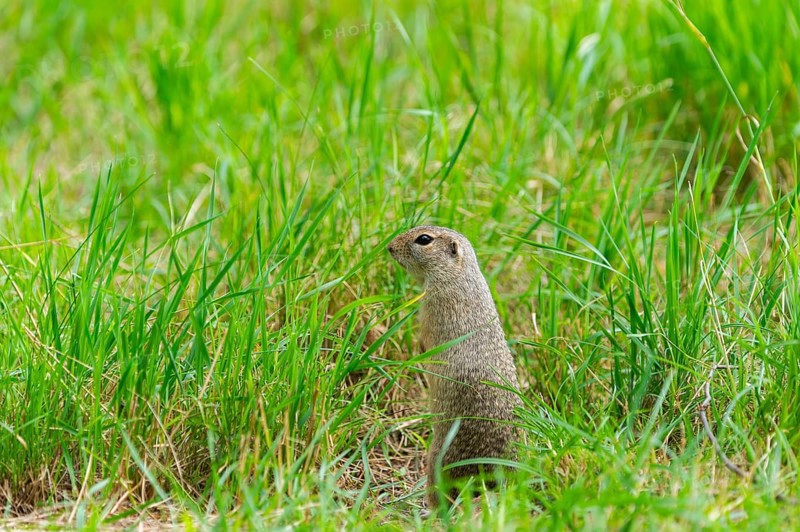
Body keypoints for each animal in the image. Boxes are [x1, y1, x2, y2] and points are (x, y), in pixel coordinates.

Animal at [387, 225, 522, 509]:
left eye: (424, 239)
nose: (390, 247)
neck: (459, 275)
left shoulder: (433, 306)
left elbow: (426, 338)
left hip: (437, 459)